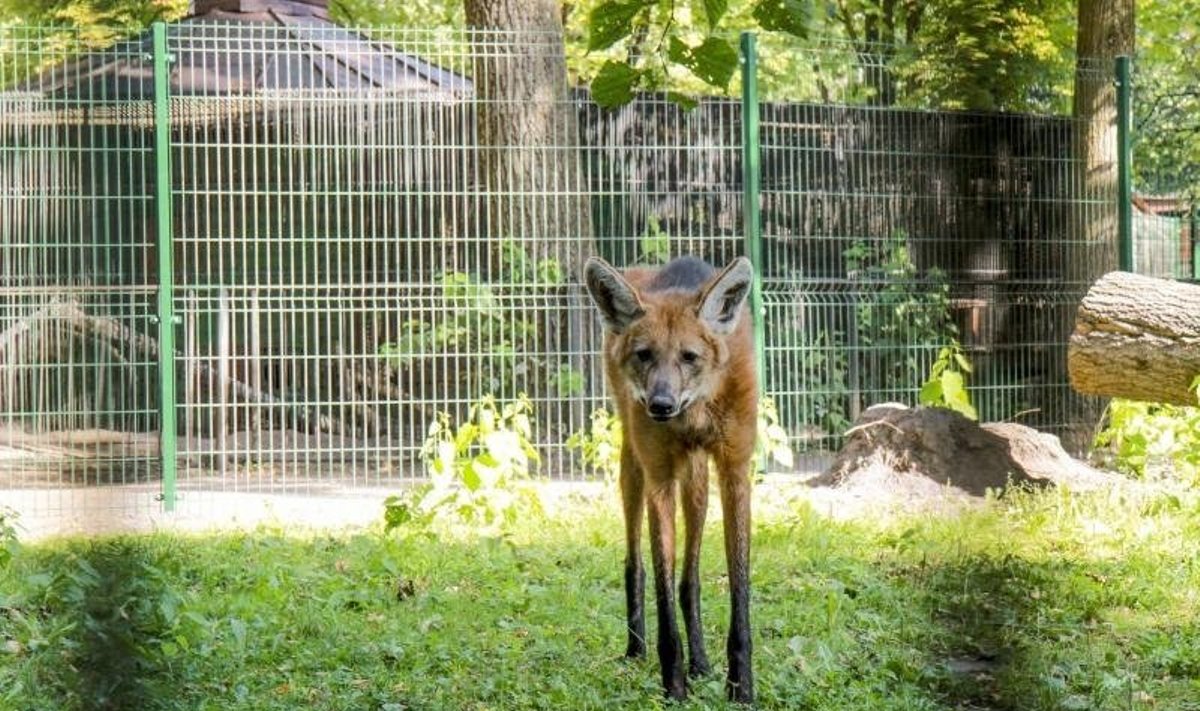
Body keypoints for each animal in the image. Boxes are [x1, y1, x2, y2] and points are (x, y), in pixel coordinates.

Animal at [583, 255, 758, 706]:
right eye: (645, 355)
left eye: (689, 356)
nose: (661, 404)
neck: (695, 411)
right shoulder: (659, 476)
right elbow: (661, 587)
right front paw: (674, 689)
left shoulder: (734, 471)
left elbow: (738, 588)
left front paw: (741, 688)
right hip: (633, 466)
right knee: (636, 563)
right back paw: (635, 649)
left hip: (696, 482)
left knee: (690, 578)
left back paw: (702, 663)